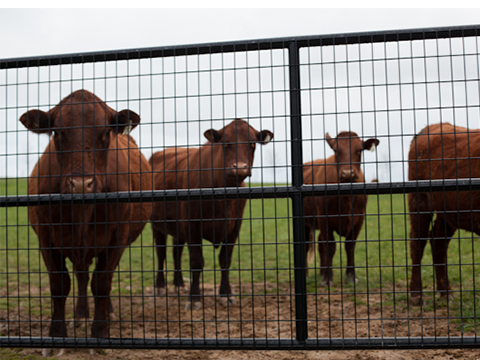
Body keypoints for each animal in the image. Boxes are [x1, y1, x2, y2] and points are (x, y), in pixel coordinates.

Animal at [20, 89, 152, 344]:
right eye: (57, 131)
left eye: (106, 132)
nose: (82, 183)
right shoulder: (46, 238)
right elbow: (59, 284)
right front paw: (57, 333)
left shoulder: (116, 238)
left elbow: (101, 283)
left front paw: (100, 331)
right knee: (81, 273)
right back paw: (81, 314)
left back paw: (107, 312)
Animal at [150, 119, 272, 310]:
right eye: (225, 143)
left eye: (252, 143)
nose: (240, 168)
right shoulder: (192, 225)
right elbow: (196, 262)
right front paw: (194, 298)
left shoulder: (234, 227)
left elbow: (225, 260)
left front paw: (226, 294)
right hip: (156, 224)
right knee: (161, 252)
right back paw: (160, 287)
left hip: (178, 229)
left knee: (176, 251)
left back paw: (179, 284)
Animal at [304, 131, 378, 286]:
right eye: (336, 150)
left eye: (359, 150)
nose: (348, 173)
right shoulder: (324, 218)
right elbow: (330, 247)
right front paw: (328, 279)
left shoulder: (359, 219)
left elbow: (350, 246)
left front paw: (351, 276)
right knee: (308, 245)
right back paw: (308, 274)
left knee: (320, 244)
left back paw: (322, 272)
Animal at [406, 122, 478, 306]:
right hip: (419, 201)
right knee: (418, 242)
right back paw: (416, 295)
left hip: (448, 211)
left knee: (438, 242)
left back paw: (446, 292)